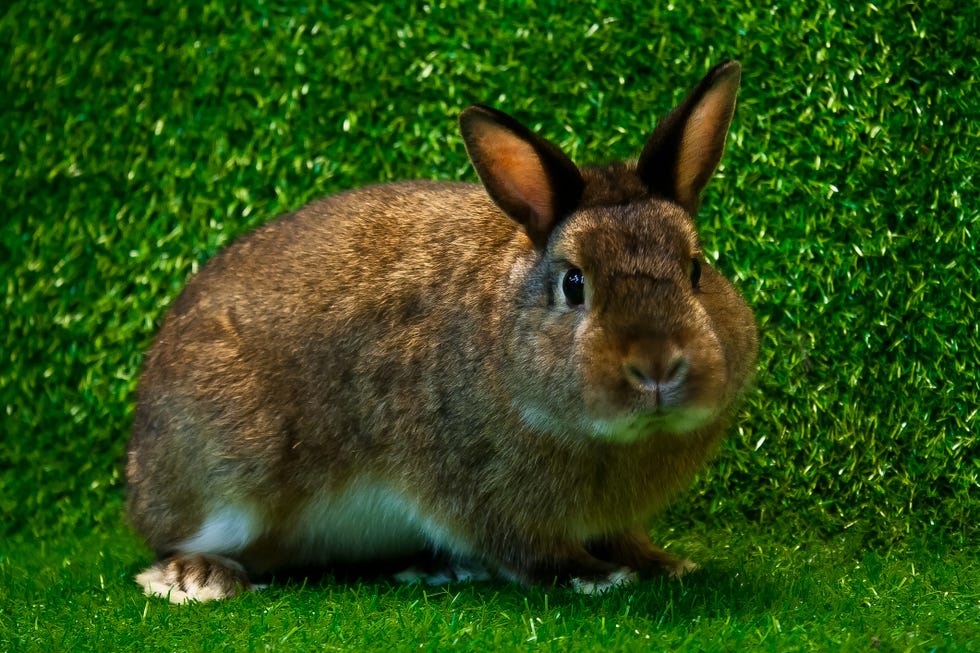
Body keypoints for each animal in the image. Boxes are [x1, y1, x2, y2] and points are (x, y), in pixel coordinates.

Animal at [126, 61, 756, 600]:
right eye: (574, 284)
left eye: (696, 269)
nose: (658, 366)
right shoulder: (474, 490)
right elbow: (525, 549)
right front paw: (595, 576)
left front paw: (664, 564)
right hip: (229, 473)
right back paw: (197, 578)